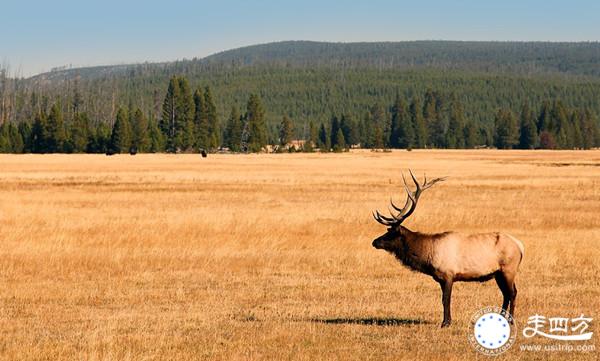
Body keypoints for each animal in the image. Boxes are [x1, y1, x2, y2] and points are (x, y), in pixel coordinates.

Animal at [372, 169, 524, 326]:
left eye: (391, 233)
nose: (375, 242)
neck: (428, 254)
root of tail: (520, 246)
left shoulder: (448, 274)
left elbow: (446, 299)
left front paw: (445, 323)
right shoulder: (441, 278)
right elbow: (444, 300)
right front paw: (447, 321)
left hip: (508, 270)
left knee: (512, 293)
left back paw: (510, 320)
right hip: (498, 274)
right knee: (506, 294)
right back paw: (502, 317)